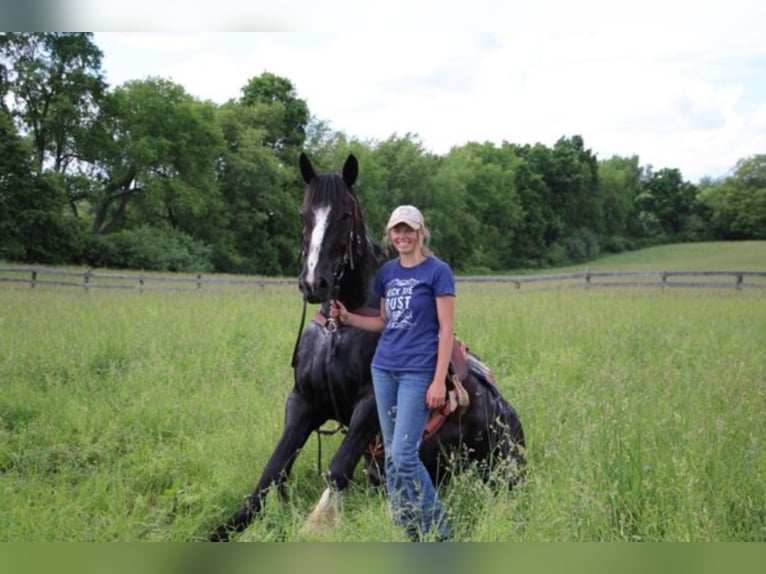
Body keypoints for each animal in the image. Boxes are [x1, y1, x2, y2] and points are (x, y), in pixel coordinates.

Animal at [210, 154, 524, 544]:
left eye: (345, 215)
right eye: (304, 214)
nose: (314, 283)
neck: (339, 329)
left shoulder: (370, 404)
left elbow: (337, 469)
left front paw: (315, 525)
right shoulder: (303, 402)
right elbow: (272, 470)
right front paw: (225, 530)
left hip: (502, 467)